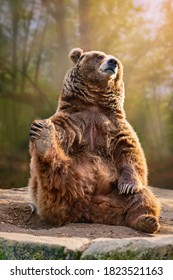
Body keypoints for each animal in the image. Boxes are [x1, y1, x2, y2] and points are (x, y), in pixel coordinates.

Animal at [28, 47, 161, 232]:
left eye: (118, 61)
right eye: (99, 56)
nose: (113, 62)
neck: (94, 103)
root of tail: (87, 206)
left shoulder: (114, 125)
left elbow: (130, 150)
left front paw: (128, 185)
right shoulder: (73, 121)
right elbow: (60, 134)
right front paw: (44, 131)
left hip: (114, 196)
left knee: (142, 197)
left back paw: (147, 221)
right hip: (56, 187)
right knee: (55, 173)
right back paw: (43, 138)